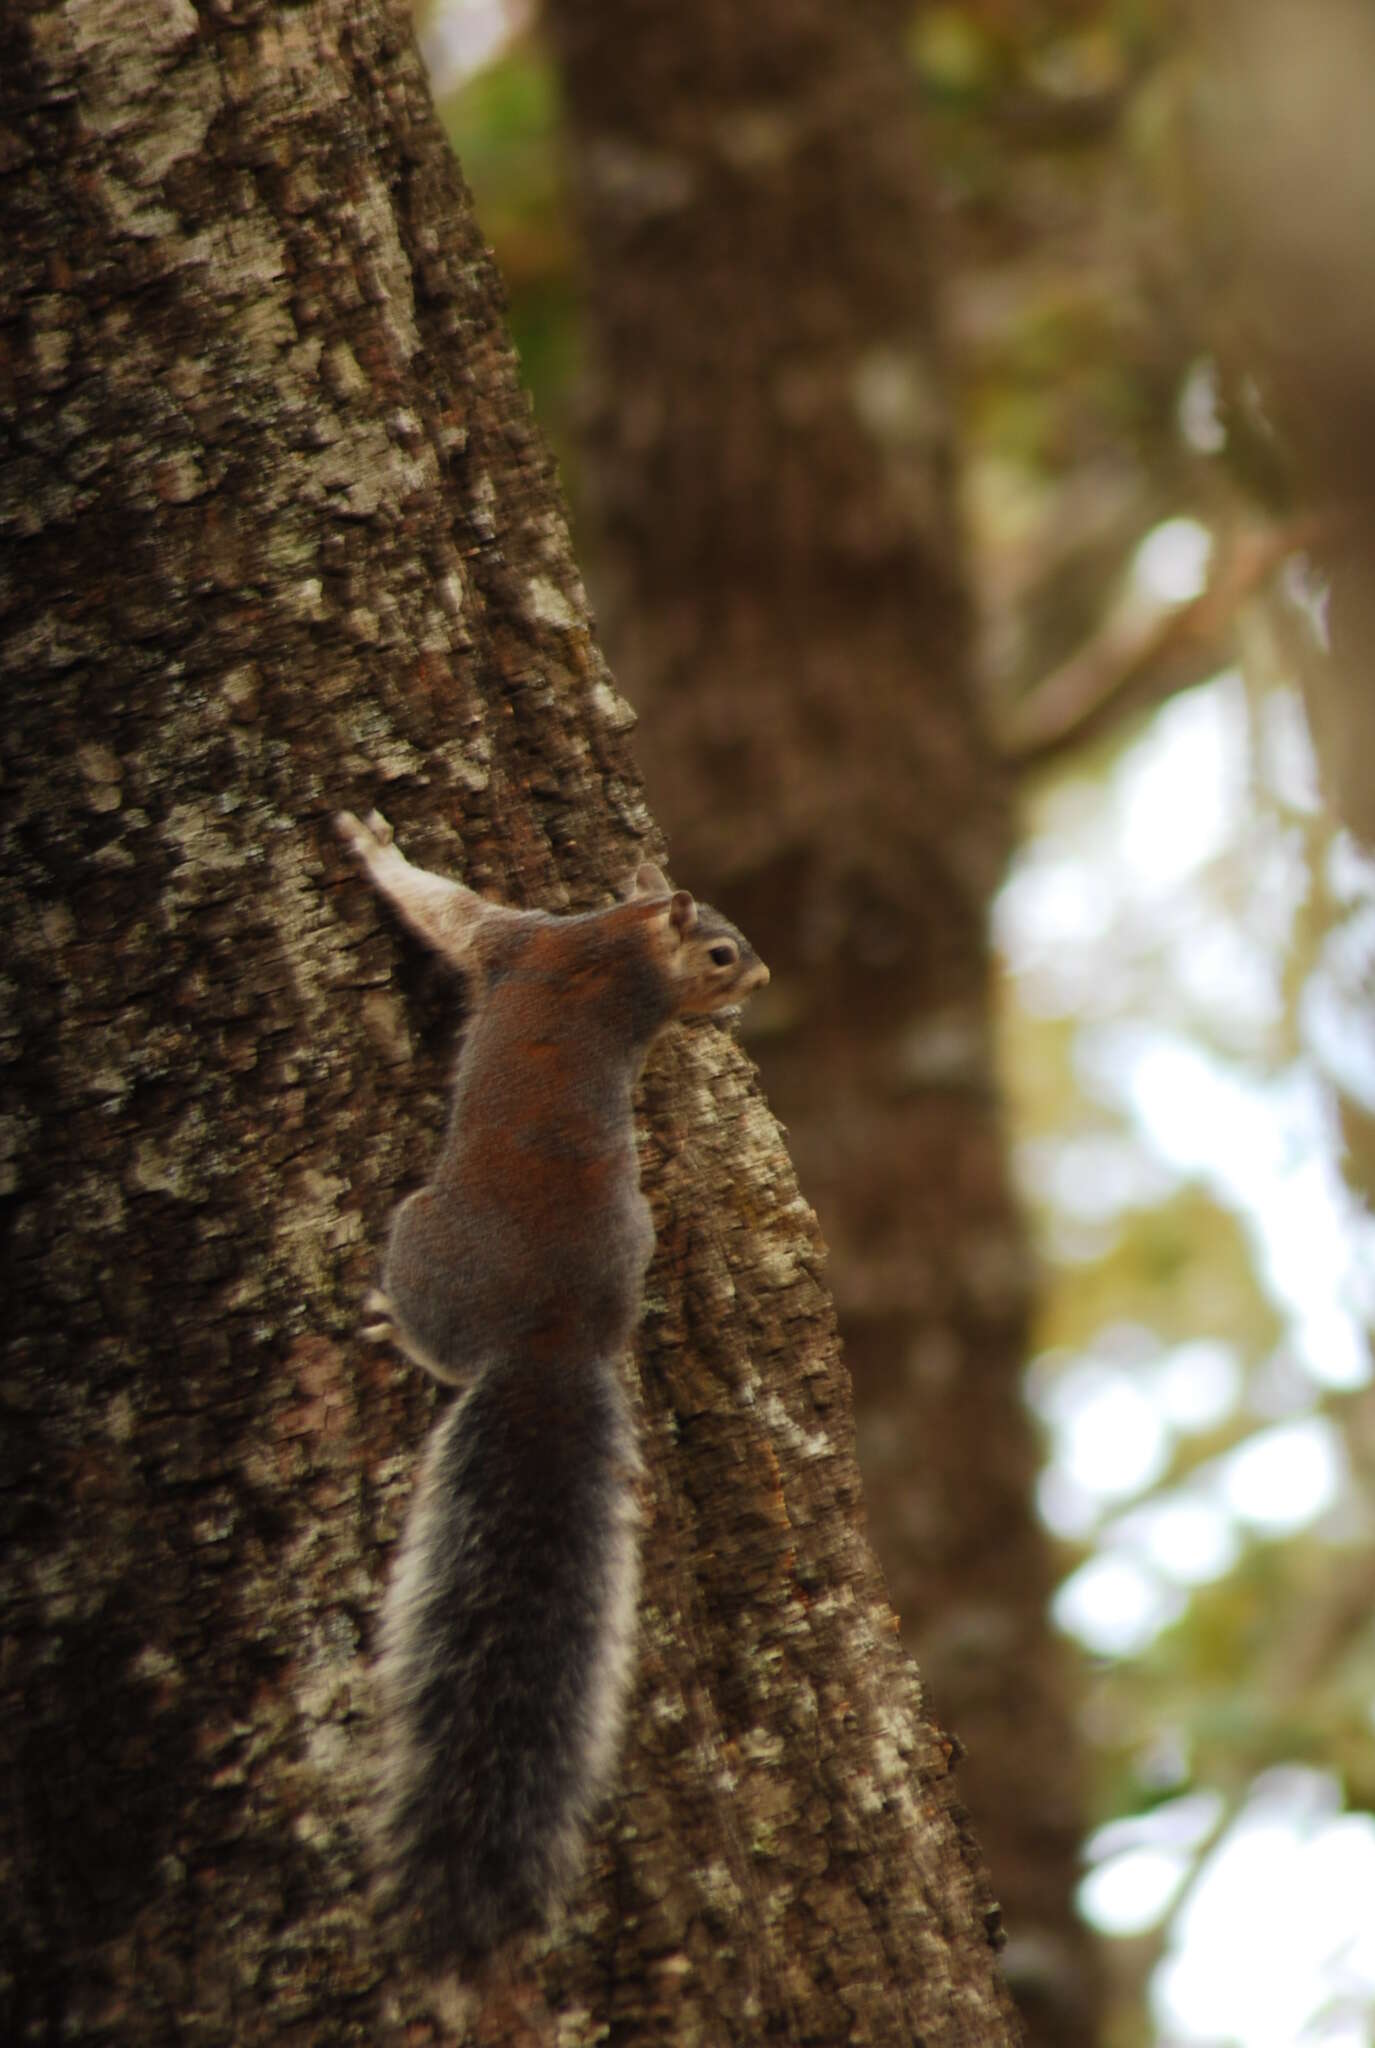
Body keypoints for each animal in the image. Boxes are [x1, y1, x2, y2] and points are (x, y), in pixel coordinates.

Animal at [334, 806, 762, 1974]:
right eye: (724, 951)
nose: (758, 983)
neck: (624, 957)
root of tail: (553, 1343)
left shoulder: (518, 941)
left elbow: (441, 910)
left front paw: (372, 846)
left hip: (421, 1235)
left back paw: (393, 1324)